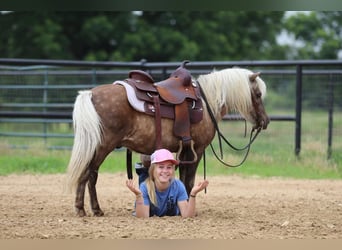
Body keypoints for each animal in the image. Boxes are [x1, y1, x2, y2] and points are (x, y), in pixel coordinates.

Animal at [66, 66, 270, 217]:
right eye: (258, 94)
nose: (265, 121)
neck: (207, 103)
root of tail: (91, 94)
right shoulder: (197, 150)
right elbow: (189, 180)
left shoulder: (185, 151)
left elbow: (184, 179)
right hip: (102, 146)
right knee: (89, 173)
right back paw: (86, 209)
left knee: (89, 173)